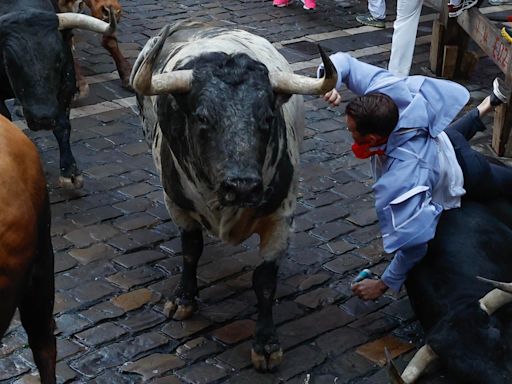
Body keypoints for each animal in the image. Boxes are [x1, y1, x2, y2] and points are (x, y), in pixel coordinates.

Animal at [0, 0, 115, 188]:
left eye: (59, 59)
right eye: (9, 62)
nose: (43, 118)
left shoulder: (67, 84)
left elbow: (63, 125)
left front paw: (70, 172)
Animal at [131, 21, 336, 372]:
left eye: (267, 118)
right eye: (202, 118)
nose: (242, 186)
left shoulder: (282, 218)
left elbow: (264, 281)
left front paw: (266, 344)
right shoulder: (177, 205)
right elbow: (191, 251)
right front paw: (183, 298)